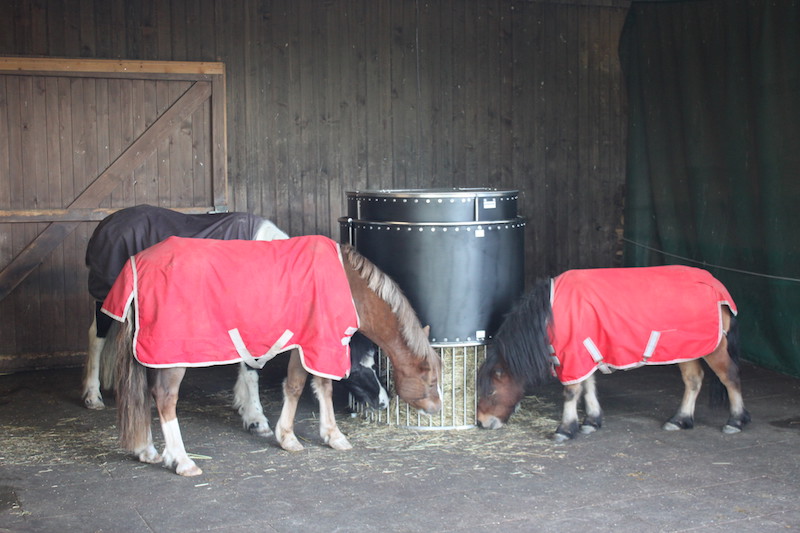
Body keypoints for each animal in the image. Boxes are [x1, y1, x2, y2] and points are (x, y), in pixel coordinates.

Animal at [83, 205, 388, 438]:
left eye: (374, 363)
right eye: (356, 365)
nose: (384, 402)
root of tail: (106, 224)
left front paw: (243, 405)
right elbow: (251, 368)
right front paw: (256, 419)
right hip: (106, 298)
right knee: (96, 337)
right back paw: (92, 396)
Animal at [110, 235, 441, 476]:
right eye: (431, 380)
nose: (437, 408)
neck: (349, 286)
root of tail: (137, 263)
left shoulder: (306, 346)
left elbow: (315, 387)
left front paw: (325, 435)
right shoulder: (318, 343)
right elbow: (303, 386)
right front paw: (294, 437)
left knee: (143, 394)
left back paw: (147, 450)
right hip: (174, 353)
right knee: (165, 397)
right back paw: (181, 460)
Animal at [476, 266, 750, 442]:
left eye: (490, 392)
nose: (481, 422)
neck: (550, 313)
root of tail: (717, 286)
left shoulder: (574, 353)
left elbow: (572, 391)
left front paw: (565, 429)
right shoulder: (583, 352)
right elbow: (588, 386)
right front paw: (591, 421)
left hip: (714, 349)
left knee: (730, 376)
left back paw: (735, 421)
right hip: (686, 348)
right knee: (693, 380)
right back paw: (680, 419)